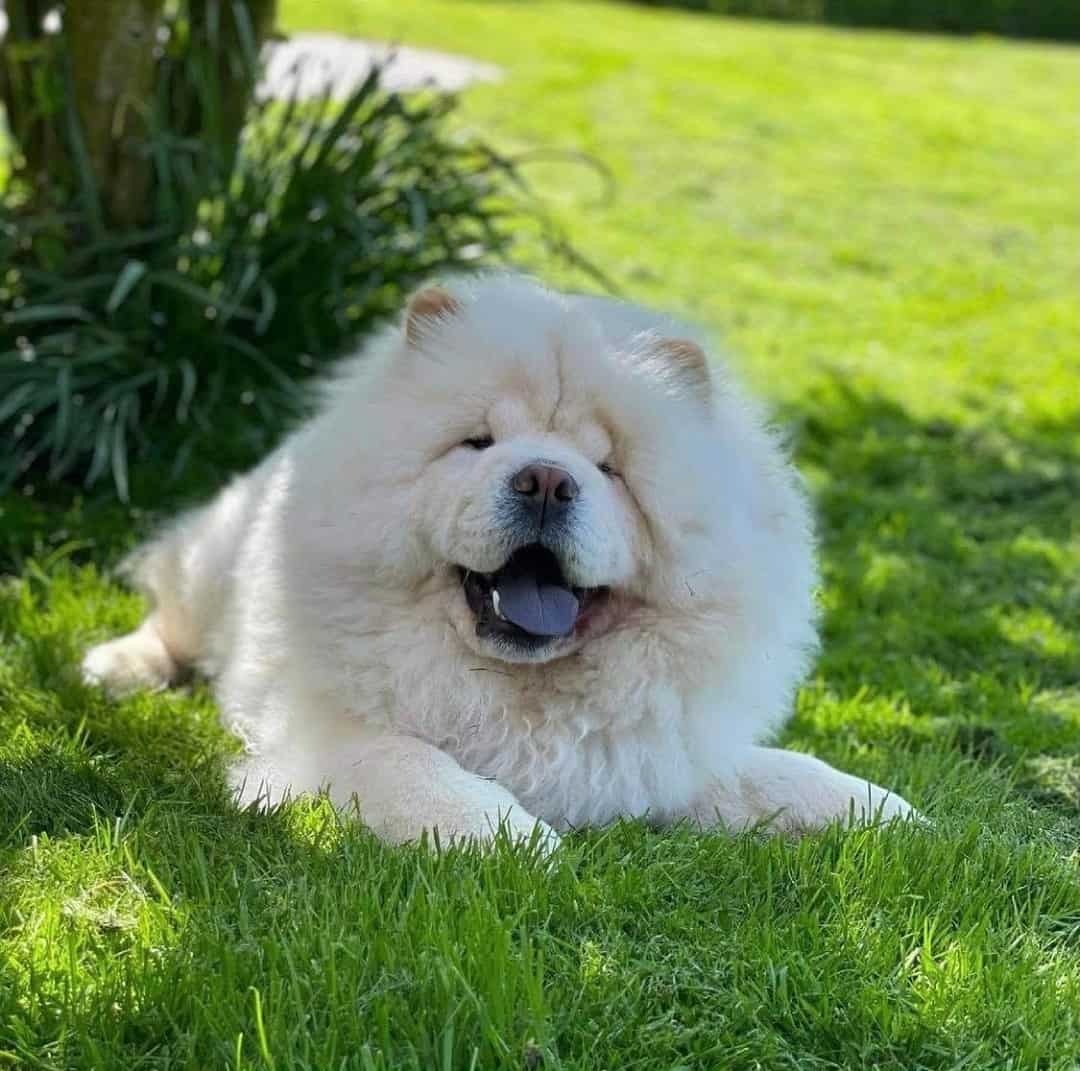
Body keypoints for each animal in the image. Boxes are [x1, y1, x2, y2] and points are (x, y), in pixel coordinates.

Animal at [79, 274, 915, 846]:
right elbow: (407, 761)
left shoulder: (650, 758)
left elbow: (767, 770)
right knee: (169, 618)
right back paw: (117, 668)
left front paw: (880, 809)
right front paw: (505, 835)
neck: (523, 695)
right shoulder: (325, 737)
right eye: (478, 442)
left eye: (609, 467)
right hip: (211, 566)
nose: (545, 479)